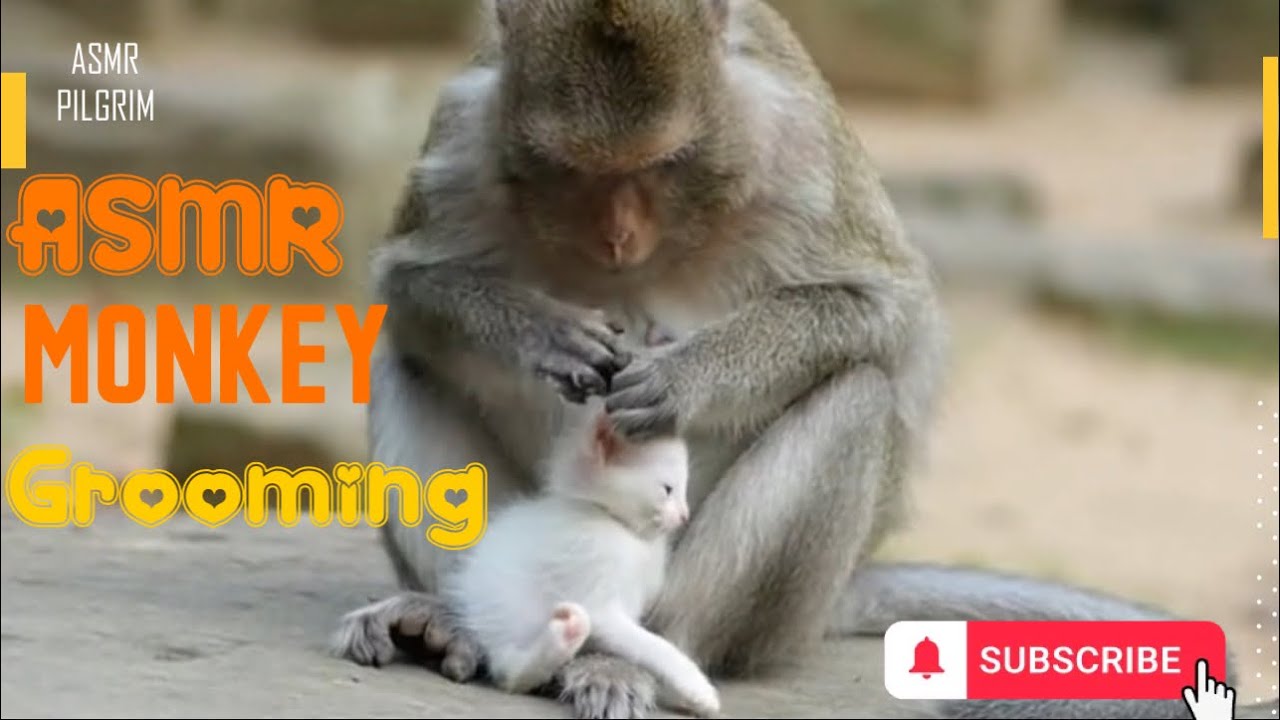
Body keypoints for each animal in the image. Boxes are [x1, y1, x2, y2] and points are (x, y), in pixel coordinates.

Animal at [330, 2, 1279, 719]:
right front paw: (536, 330)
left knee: (856, 396)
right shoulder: (463, 131)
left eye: (663, 163)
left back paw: (638, 655)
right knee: (405, 357)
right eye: (570, 168)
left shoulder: (799, 146)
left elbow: (888, 313)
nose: (619, 236)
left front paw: (687, 376)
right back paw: (452, 621)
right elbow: (406, 285)